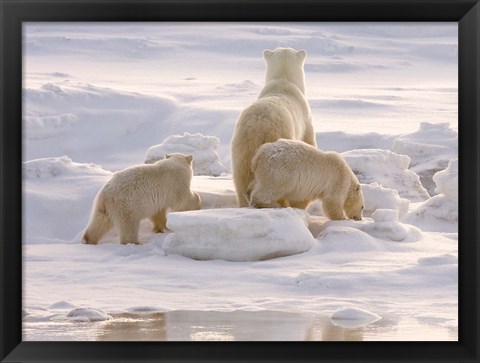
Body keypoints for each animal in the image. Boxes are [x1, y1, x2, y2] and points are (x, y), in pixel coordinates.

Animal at [231, 47, 316, 208]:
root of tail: (260, 126)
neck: (283, 81)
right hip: (281, 138)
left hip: (242, 146)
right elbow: (309, 142)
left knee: (241, 178)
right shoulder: (306, 121)